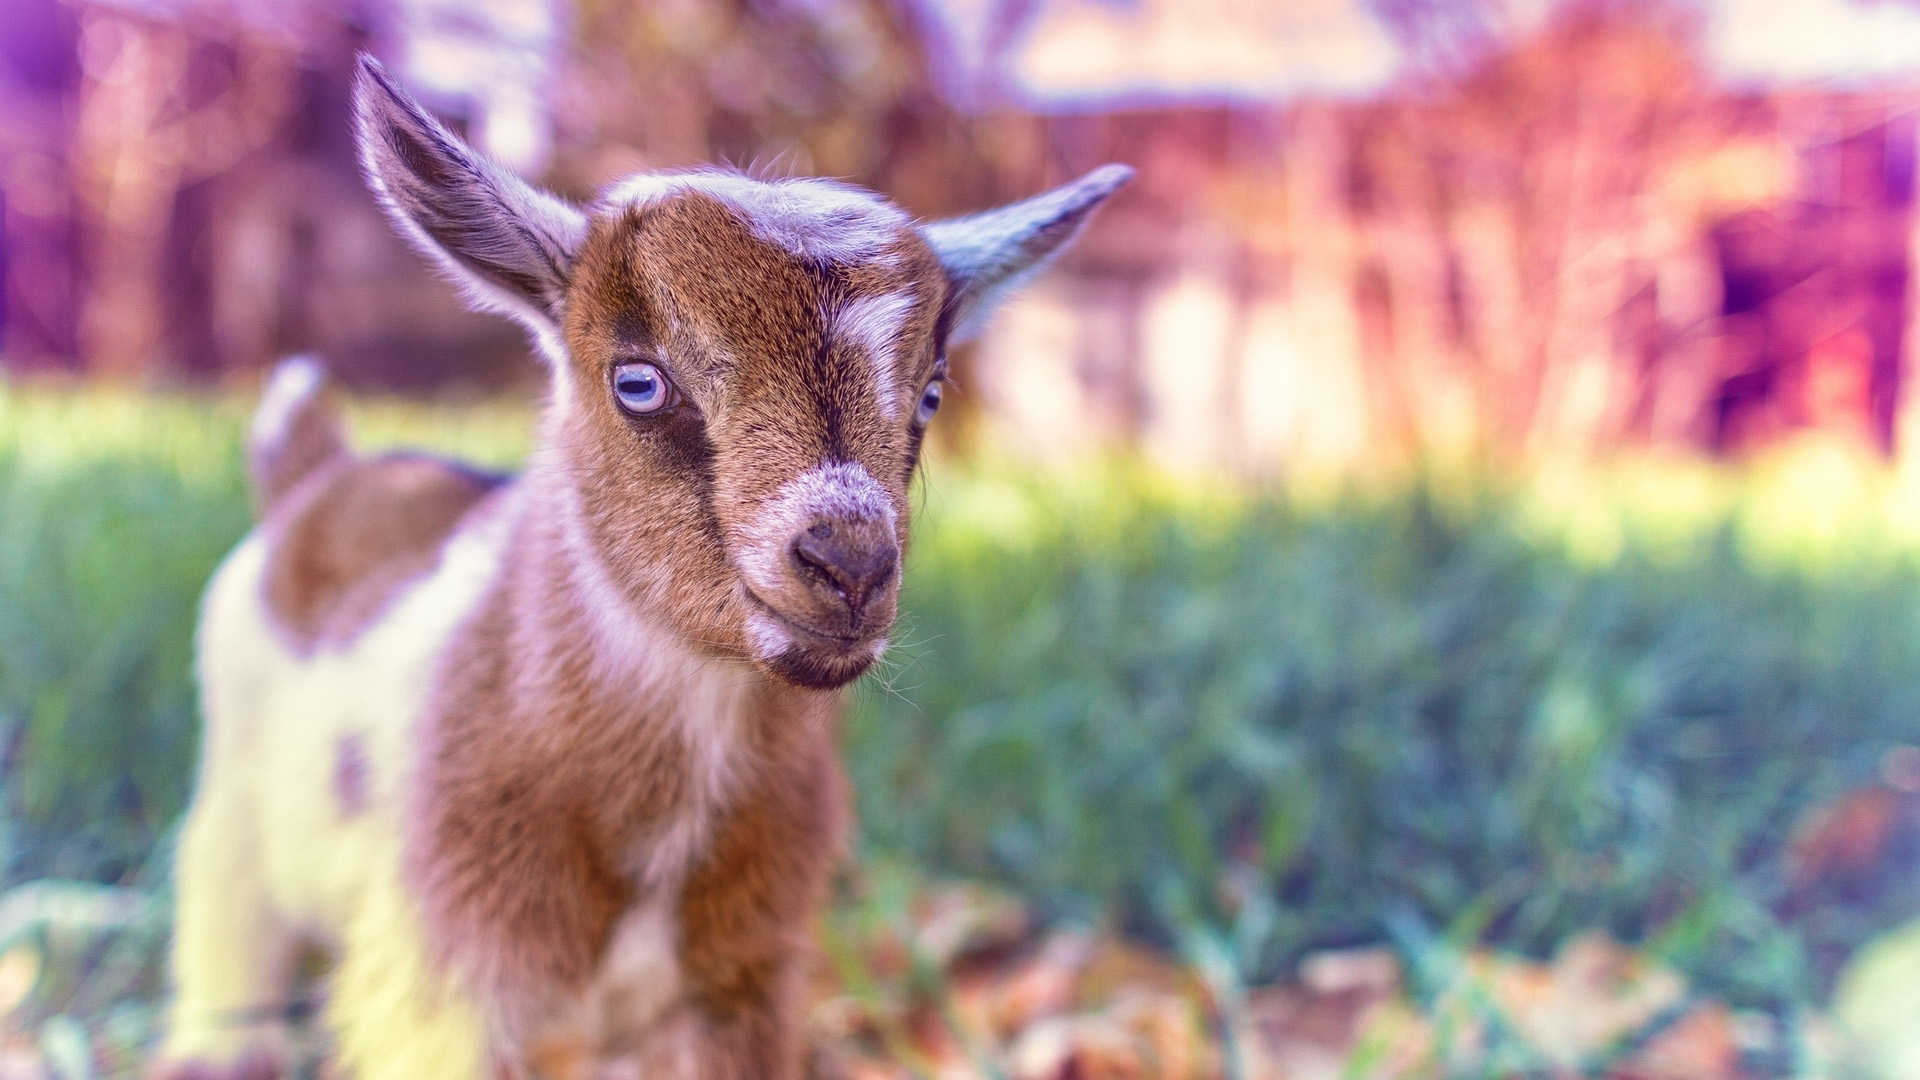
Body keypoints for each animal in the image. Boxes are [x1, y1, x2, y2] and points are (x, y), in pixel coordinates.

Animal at [150, 53, 1127, 1080]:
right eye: (638, 382)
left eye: (932, 394)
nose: (851, 566)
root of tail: (317, 472)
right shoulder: (441, 980)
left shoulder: (741, 985)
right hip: (231, 804)